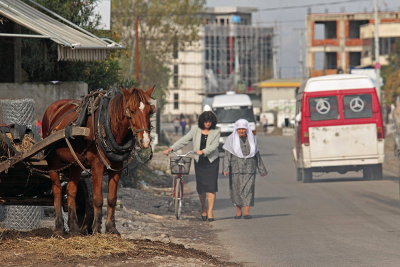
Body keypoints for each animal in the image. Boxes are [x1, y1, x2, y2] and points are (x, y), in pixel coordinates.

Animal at [41, 87, 155, 236]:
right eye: (131, 110)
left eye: (150, 111)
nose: (145, 141)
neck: (107, 126)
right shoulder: (97, 166)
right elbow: (98, 199)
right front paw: (96, 229)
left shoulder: (117, 167)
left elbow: (112, 199)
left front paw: (112, 229)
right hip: (53, 161)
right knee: (57, 191)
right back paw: (59, 228)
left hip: (75, 163)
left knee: (71, 191)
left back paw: (74, 228)